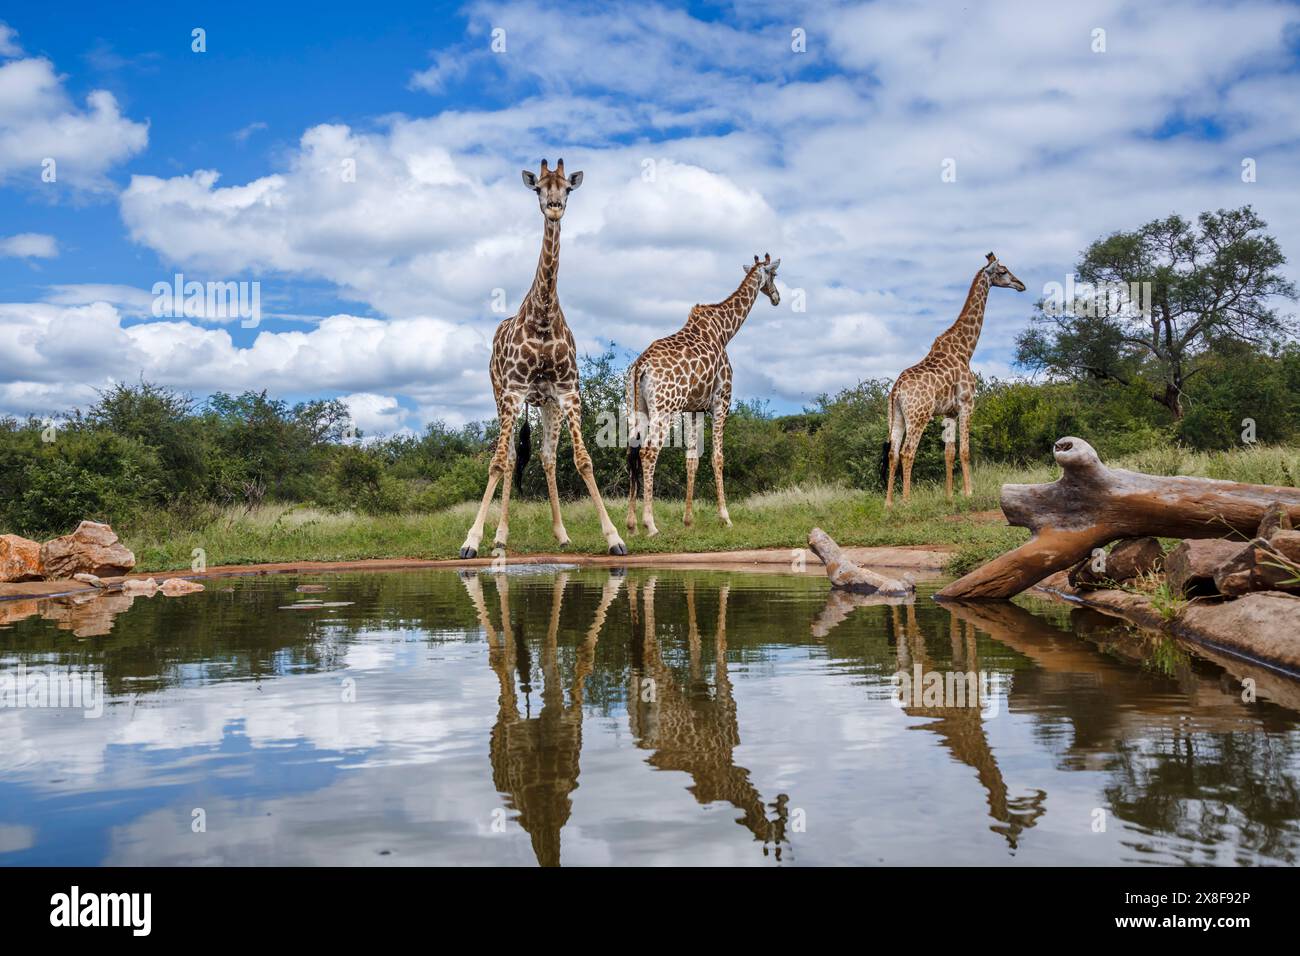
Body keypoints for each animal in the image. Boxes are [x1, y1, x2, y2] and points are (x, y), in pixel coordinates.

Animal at [459, 159, 627, 559]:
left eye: (566, 188)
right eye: (539, 188)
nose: (553, 208)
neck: (544, 316)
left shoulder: (567, 392)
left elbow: (583, 460)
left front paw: (613, 537)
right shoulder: (513, 391)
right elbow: (496, 463)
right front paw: (472, 540)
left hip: (546, 403)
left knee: (547, 457)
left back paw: (561, 535)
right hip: (500, 394)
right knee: (506, 460)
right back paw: (499, 537)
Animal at [625, 253, 781, 537]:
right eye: (774, 274)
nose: (777, 297)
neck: (725, 331)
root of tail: (641, 366)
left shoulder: (693, 408)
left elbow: (691, 460)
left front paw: (688, 521)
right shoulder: (721, 402)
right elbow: (718, 458)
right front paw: (725, 518)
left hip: (637, 407)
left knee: (632, 453)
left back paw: (631, 524)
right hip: (664, 409)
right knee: (648, 453)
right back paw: (650, 524)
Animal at [882, 252, 1025, 506]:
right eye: (1003, 271)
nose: (1021, 285)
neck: (966, 349)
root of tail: (896, 389)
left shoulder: (949, 411)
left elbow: (948, 453)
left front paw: (949, 496)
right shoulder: (967, 403)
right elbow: (965, 451)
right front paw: (969, 493)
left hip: (897, 415)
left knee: (893, 452)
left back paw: (889, 503)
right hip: (919, 415)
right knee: (908, 452)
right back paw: (907, 501)